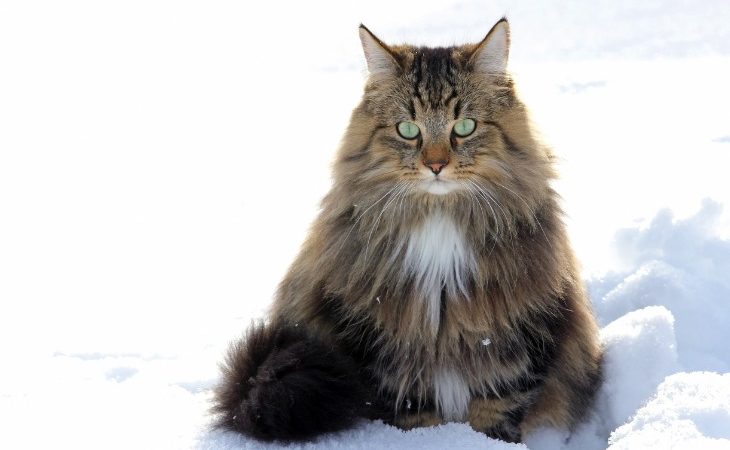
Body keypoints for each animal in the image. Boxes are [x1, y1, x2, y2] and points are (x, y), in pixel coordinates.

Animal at [212, 18, 604, 442]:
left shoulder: (520, 327)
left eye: (464, 126)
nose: (435, 165)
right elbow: (413, 409)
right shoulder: (378, 336)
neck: (439, 219)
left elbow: (499, 405)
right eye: (407, 130)